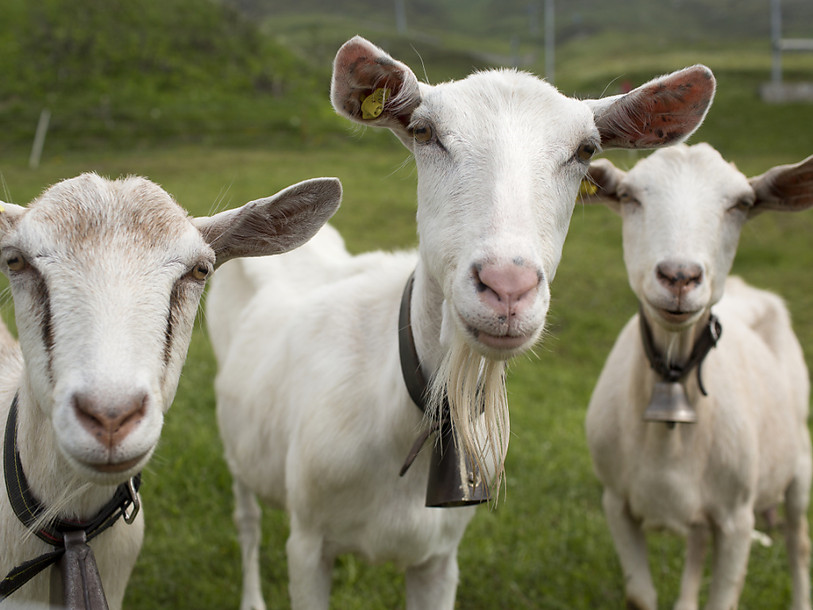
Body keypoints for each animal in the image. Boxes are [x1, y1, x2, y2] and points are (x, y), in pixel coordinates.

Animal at [208, 36, 717, 609]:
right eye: (424, 132)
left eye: (586, 150)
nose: (507, 287)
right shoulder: (309, 543)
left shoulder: (439, 559)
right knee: (247, 518)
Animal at [584, 143, 813, 610]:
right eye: (629, 196)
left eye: (742, 204)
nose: (679, 276)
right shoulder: (616, 502)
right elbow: (640, 595)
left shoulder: (738, 518)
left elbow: (725, 597)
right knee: (697, 541)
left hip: (800, 460)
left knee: (798, 542)